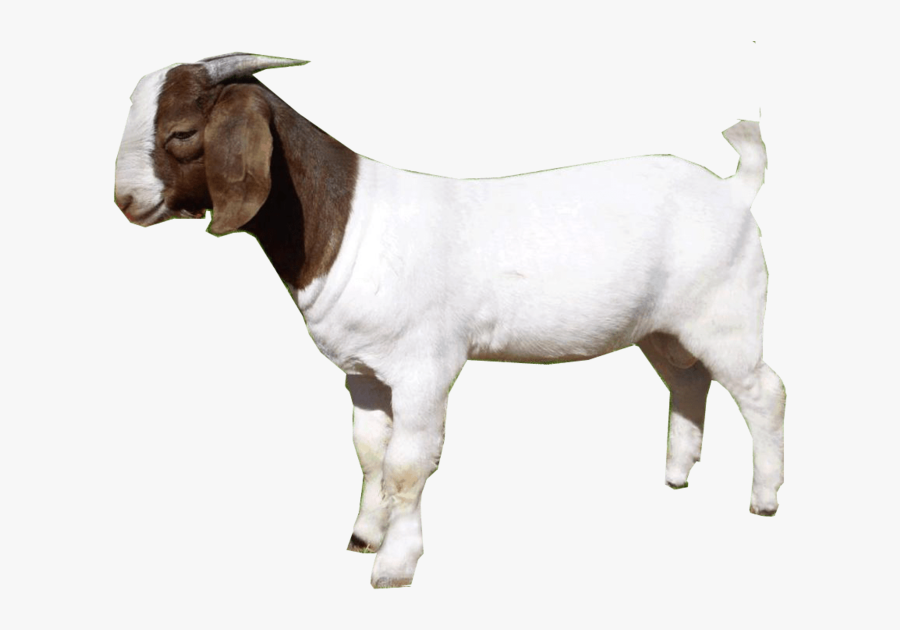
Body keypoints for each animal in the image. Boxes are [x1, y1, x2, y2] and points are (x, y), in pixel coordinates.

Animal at [114, 53, 785, 588]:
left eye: (181, 131)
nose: (124, 200)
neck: (347, 221)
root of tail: (735, 190)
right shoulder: (364, 373)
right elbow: (370, 454)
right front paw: (364, 536)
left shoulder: (424, 368)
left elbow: (408, 465)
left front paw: (394, 566)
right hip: (664, 328)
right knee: (688, 380)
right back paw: (676, 475)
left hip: (726, 315)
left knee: (763, 392)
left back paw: (764, 499)